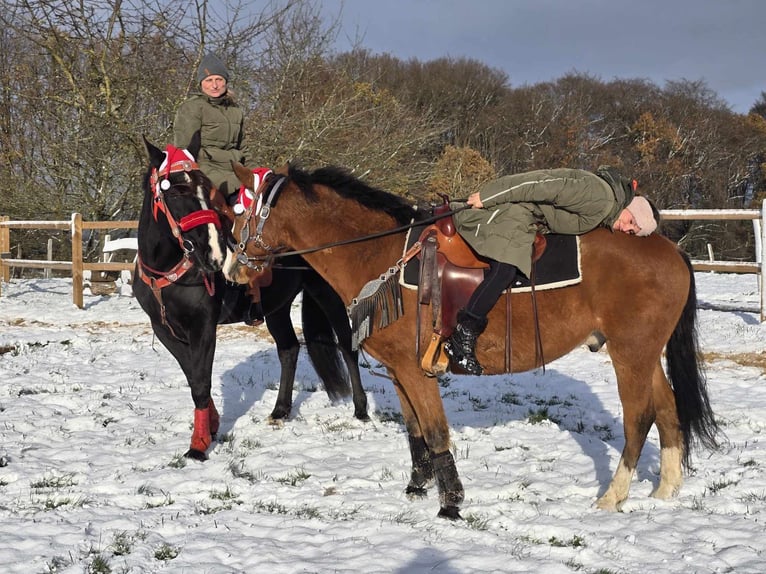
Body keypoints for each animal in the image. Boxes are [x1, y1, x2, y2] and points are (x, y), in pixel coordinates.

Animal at [135, 133, 368, 462]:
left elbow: (201, 382)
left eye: (205, 188)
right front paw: (211, 426)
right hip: (277, 308)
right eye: (176, 193)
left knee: (347, 347)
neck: (167, 267)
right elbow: (193, 376)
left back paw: (361, 409)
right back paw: (281, 410)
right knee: (289, 349)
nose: (214, 253)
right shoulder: (164, 329)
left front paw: (199, 445)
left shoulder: (203, 327)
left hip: (328, 296)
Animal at [222, 163, 720, 520]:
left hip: (631, 355)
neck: (380, 254)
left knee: (639, 419)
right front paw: (417, 487)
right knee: (668, 410)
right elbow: (415, 433)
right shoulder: (399, 373)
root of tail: (672, 249)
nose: (233, 270)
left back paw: (613, 496)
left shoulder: (417, 372)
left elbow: (436, 433)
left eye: (244, 213)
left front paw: (450, 503)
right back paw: (666, 488)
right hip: (645, 355)